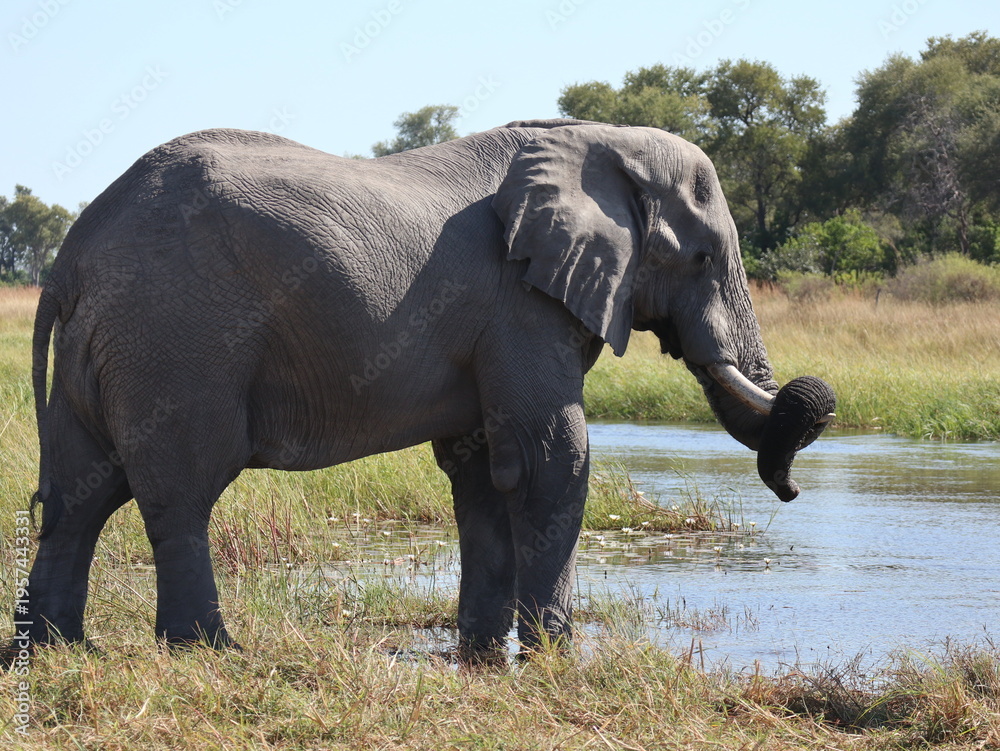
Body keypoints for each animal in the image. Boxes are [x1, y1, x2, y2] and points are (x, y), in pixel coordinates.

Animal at [16, 119, 835, 659]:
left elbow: (485, 472)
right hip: (175, 341)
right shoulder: (520, 303)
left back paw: (52, 650)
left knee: (80, 496)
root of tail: (74, 251)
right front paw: (555, 658)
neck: (601, 143)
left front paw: (483, 652)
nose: (794, 489)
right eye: (702, 258)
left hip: (112, 345)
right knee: (180, 489)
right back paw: (210, 651)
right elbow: (553, 459)